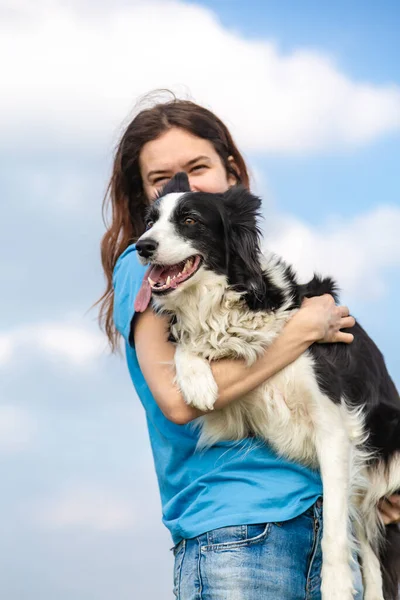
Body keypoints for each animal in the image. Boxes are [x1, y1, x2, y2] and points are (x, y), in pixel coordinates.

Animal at [134, 172, 400, 600]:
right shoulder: (234, 413)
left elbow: (334, 530)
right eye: (149, 221)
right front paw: (197, 380)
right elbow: (190, 346)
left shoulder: (335, 429)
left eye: (190, 220)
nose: (142, 247)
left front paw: (335, 586)